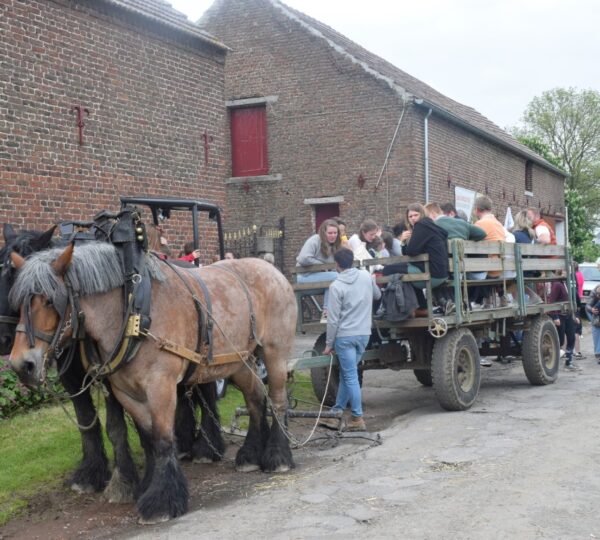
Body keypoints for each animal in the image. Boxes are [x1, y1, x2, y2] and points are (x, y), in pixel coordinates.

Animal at [0, 225, 225, 506]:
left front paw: (124, 482)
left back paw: (207, 446)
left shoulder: (113, 378)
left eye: (12, 277)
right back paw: (183, 443)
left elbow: (116, 427)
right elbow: (88, 421)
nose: (17, 359)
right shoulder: (76, 379)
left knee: (206, 391)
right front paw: (92, 474)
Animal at [8, 244, 296, 524]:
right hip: (239, 361)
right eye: (18, 305)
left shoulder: (160, 385)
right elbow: (147, 438)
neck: (133, 312)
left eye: (49, 300)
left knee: (278, 399)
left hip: (274, 352)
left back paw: (278, 456)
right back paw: (251, 455)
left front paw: (162, 501)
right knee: (256, 398)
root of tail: (271, 268)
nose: (22, 364)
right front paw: (147, 485)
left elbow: (162, 437)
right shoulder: (125, 391)